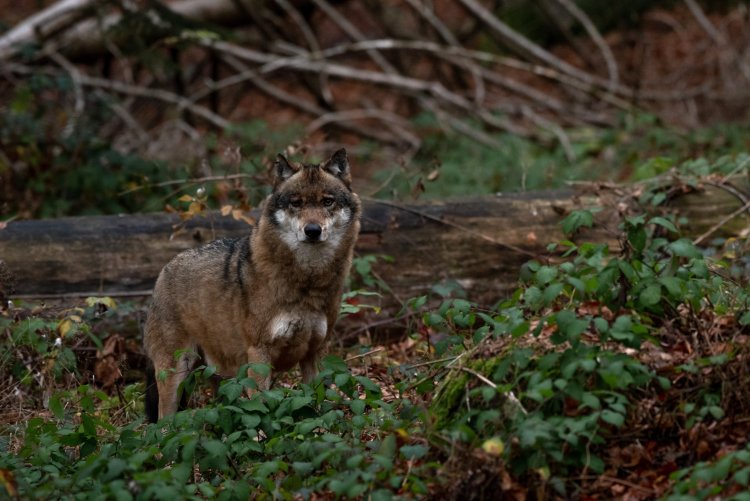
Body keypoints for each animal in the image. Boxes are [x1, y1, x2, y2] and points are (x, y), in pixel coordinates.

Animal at [145, 148, 364, 422]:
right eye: (296, 203)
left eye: (327, 202)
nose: (312, 230)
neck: (307, 282)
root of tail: (163, 271)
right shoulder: (259, 353)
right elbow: (260, 407)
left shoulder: (316, 353)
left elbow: (315, 402)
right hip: (176, 373)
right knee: (163, 420)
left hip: (219, 375)